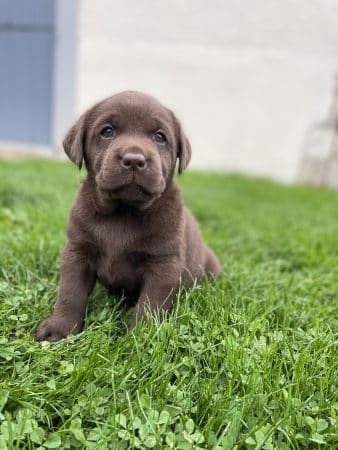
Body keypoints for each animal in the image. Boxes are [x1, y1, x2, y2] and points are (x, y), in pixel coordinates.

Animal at [36, 93, 222, 342]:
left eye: (160, 136)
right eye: (107, 131)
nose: (134, 159)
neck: (123, 212)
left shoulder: (163, 265)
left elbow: (149, 306)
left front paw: (140, 339)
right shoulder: (77, 251)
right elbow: (70, 292)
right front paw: (60, 328)